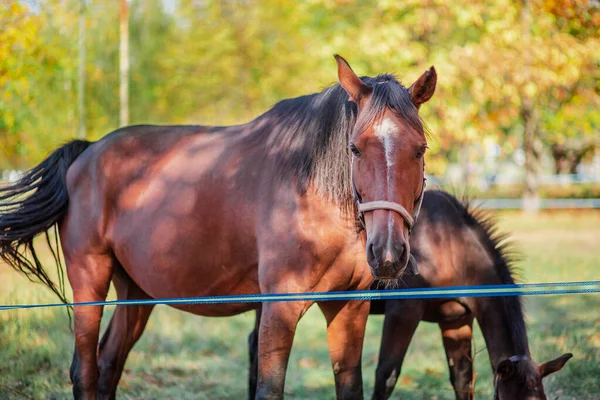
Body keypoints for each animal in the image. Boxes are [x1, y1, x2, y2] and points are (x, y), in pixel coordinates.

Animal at [0, 56, 436, 400]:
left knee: (109, 365)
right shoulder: (279, 308)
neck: (311, 190)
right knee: (86, 372)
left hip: (136, 291)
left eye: (419, 150)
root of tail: (86, 152)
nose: (388, 253)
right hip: (90, 280)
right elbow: (269, 388)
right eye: (355, 148)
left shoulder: (348, 308)